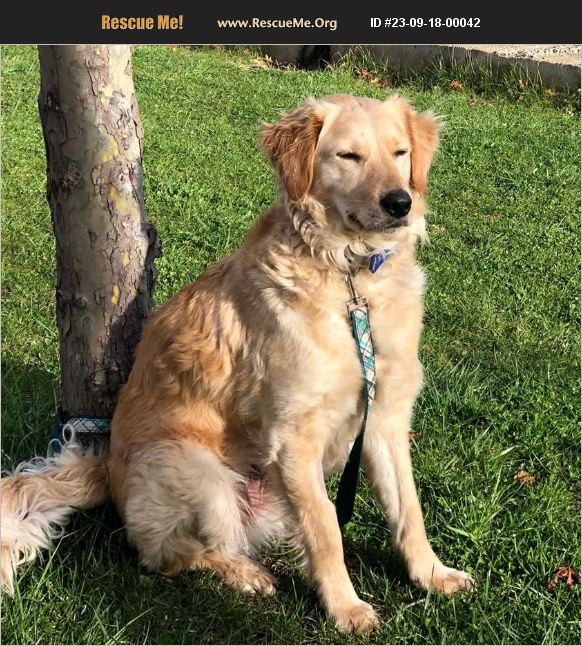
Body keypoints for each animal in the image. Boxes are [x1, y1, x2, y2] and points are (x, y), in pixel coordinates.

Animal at [1, 94, 473, 633]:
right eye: (349, 156)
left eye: (399, 152)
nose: (400, 203)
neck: (351, 281)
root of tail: (106, 470)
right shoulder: (294, 438)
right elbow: (327, 529)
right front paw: (345, 607)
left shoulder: (385, 420)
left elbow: (408, 511)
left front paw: (432, 574)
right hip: (203, 476)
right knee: (170, 556)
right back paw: (244, 573)